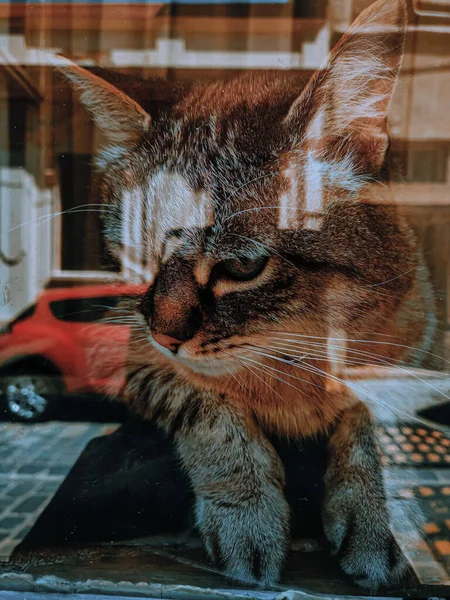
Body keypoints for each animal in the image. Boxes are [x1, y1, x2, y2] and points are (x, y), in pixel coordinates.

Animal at [59, 0, 436, 592]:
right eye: (137, 262)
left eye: (240, 265)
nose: (165, 335)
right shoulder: (131, 352)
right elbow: (209, 409)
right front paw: (247, 514)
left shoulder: (420, 352)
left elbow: (374, 421)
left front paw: (377, 522)